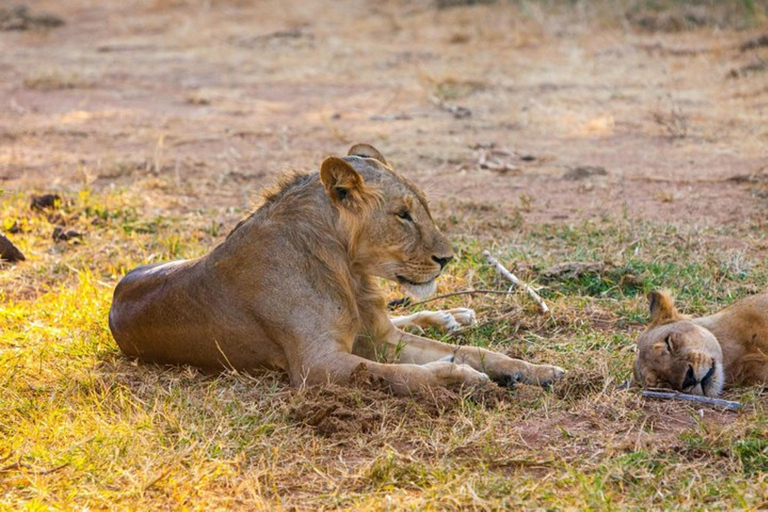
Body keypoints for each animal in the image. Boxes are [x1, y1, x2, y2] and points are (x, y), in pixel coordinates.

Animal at [108, 146, 564, 394]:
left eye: (423, 208)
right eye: (403, 215)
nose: (447, 259)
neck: (350, 270)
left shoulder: (381, 338)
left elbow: (477, 352)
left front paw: (537, 371)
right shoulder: (316, 366)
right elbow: (403, 374)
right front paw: (463, 379)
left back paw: (454, 315)